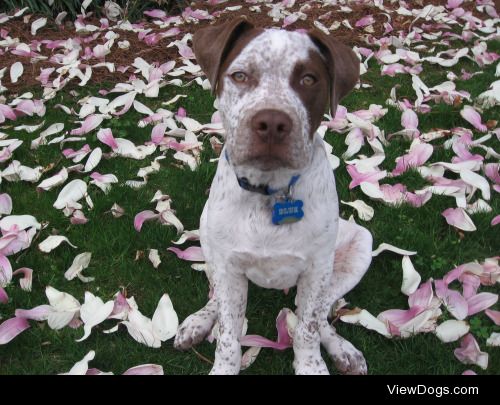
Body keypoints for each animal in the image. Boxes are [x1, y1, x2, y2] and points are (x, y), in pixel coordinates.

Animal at [174, 17, 374, 374]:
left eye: (308, 79)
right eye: (240, 75)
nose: (271, 122)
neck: (270, 190)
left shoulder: (316, 270)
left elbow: (307, 329)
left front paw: (312, 367)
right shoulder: (227, 267)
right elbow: (228, 334)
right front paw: (224, 365)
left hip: (355, 250)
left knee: (317, 315)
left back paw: (342, 350)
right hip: (209, 238)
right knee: (217, 300)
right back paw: (199, 321)